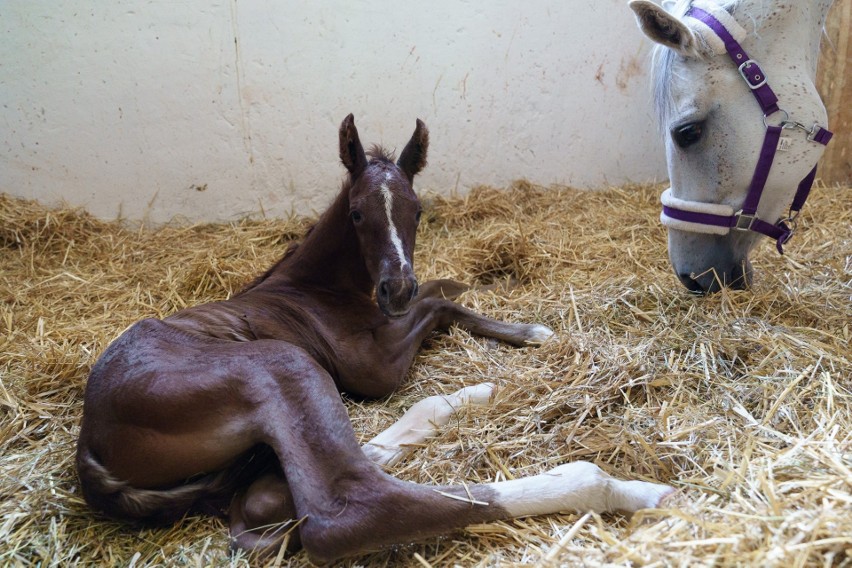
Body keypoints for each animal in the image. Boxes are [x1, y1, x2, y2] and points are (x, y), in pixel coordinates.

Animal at [76, 115, 672, 564]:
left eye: (418, 210)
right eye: (358, 213)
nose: (396, 288)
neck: (315, 286)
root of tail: (89, 450)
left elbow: (442, 288)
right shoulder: (375, 367)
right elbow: (441, 303)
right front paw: (531, 331)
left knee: (275, 494)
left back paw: (473, 396)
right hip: (282, 364)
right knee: (344, 509)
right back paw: (620, 488)